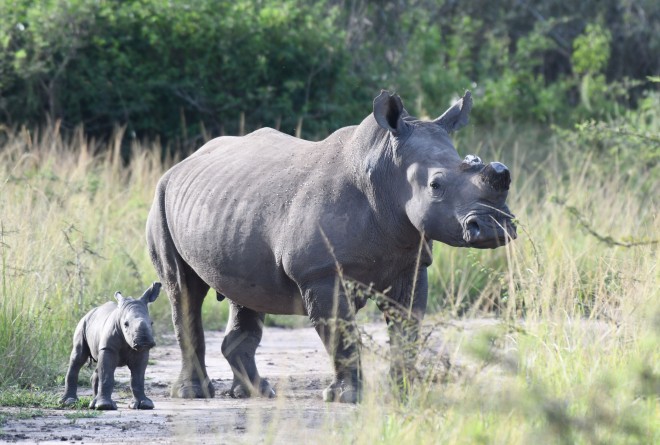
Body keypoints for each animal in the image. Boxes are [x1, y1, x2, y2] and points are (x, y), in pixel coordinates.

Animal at [60, 280, 162, 410]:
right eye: (126, 324)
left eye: (151, 323)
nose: (144, 341)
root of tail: (90, 312)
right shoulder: (108, 348)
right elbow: (107, 375)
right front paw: (104, 406)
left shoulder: (142, 351)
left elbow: (138, 378)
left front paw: (145, 405)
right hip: (82, 323)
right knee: (78, 357)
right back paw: (69, 402)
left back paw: (92, 402)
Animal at [148, 90, 516, 402]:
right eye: (436, 186)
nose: (493, 227)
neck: (385, 174)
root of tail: (184, 162)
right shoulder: (320, 273)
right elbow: (342, 333)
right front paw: (346, 397)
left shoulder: (412, 262)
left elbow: (407, 327)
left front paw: (405, 391)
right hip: (162, 196)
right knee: (183, 291)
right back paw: (194, 393)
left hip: (231, 204)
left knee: (245, 291)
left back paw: (257, 393)